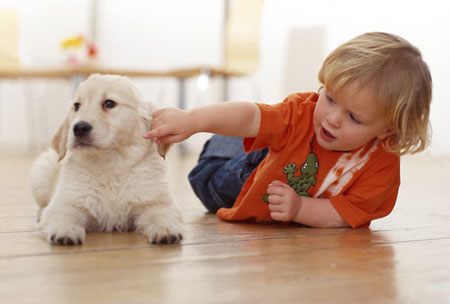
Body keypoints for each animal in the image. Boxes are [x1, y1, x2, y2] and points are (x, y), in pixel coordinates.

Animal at [29, 75, 183, 246]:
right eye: (77, 106)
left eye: (109, 103)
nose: (79, 128)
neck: (110, 165)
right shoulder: (66, 202)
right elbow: (64, 214)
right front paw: (65, 231)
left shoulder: (157, 202)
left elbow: (161, 215)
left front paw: (166, 230)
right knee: (42, 204)